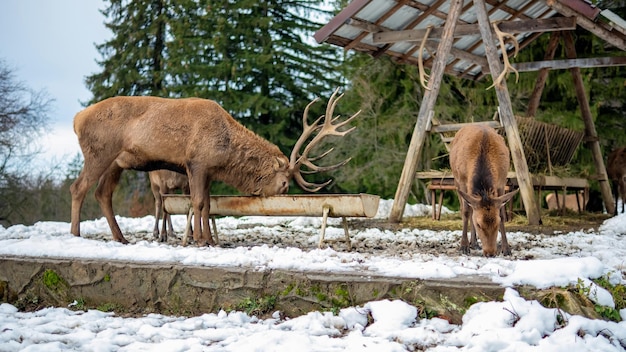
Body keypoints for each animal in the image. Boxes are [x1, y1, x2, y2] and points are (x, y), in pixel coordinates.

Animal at [69, 88, 356, 245]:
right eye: (284, 182)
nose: (280, 195)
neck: (225, 152)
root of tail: (76, 119)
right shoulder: (195, 163)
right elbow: (196, 203)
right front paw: (198, 239)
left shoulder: (207, 172)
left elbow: (207, 204)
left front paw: (208, 239)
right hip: (99, 153)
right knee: (78, 187)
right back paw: (76, 233)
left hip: (116, 163)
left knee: (102, 193)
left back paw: (120, 237)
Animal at [448, 125, 516, 258]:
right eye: (479, 224)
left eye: (496, 223)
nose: (490, 253)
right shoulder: (463, 181)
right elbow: (466, 212)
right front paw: (464, 246)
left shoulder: (501, 182)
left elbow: (502, 214)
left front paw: (506, 249)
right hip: (456, 180)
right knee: (465, 210)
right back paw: (471, 243)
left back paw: (474, 243)